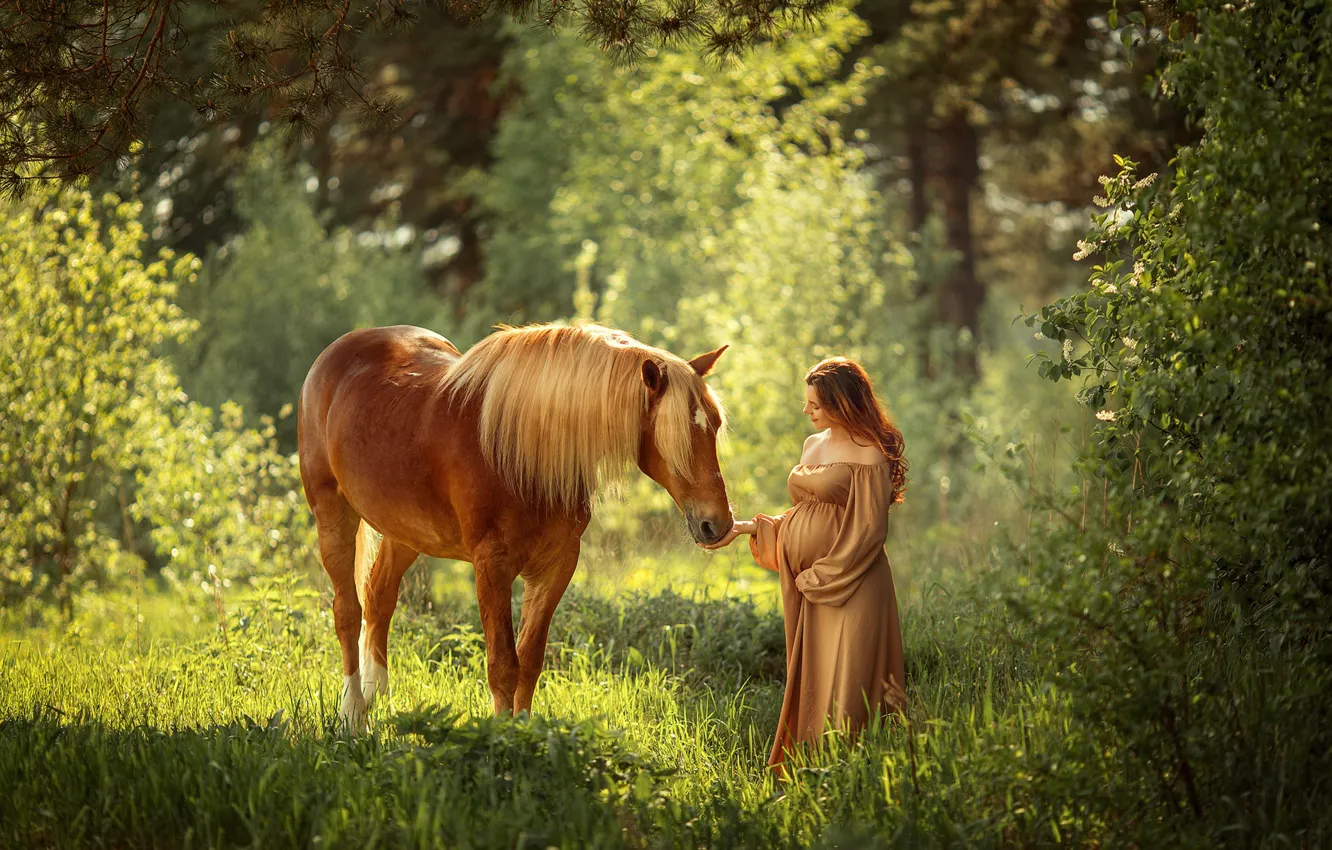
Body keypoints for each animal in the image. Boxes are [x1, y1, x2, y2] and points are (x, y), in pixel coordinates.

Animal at [297, 322, 733, 729]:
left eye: (713, 425)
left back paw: (373, 695)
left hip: (405, 530)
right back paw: (352, 716)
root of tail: (338, 351)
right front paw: (503, 741)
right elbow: (503, 665)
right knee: (347, 612)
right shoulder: (492, 565)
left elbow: (530, 660)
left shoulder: (557, 563)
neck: (521, 449)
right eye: (679, 435)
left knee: (379, 597)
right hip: (332, 514)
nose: (718, 523)